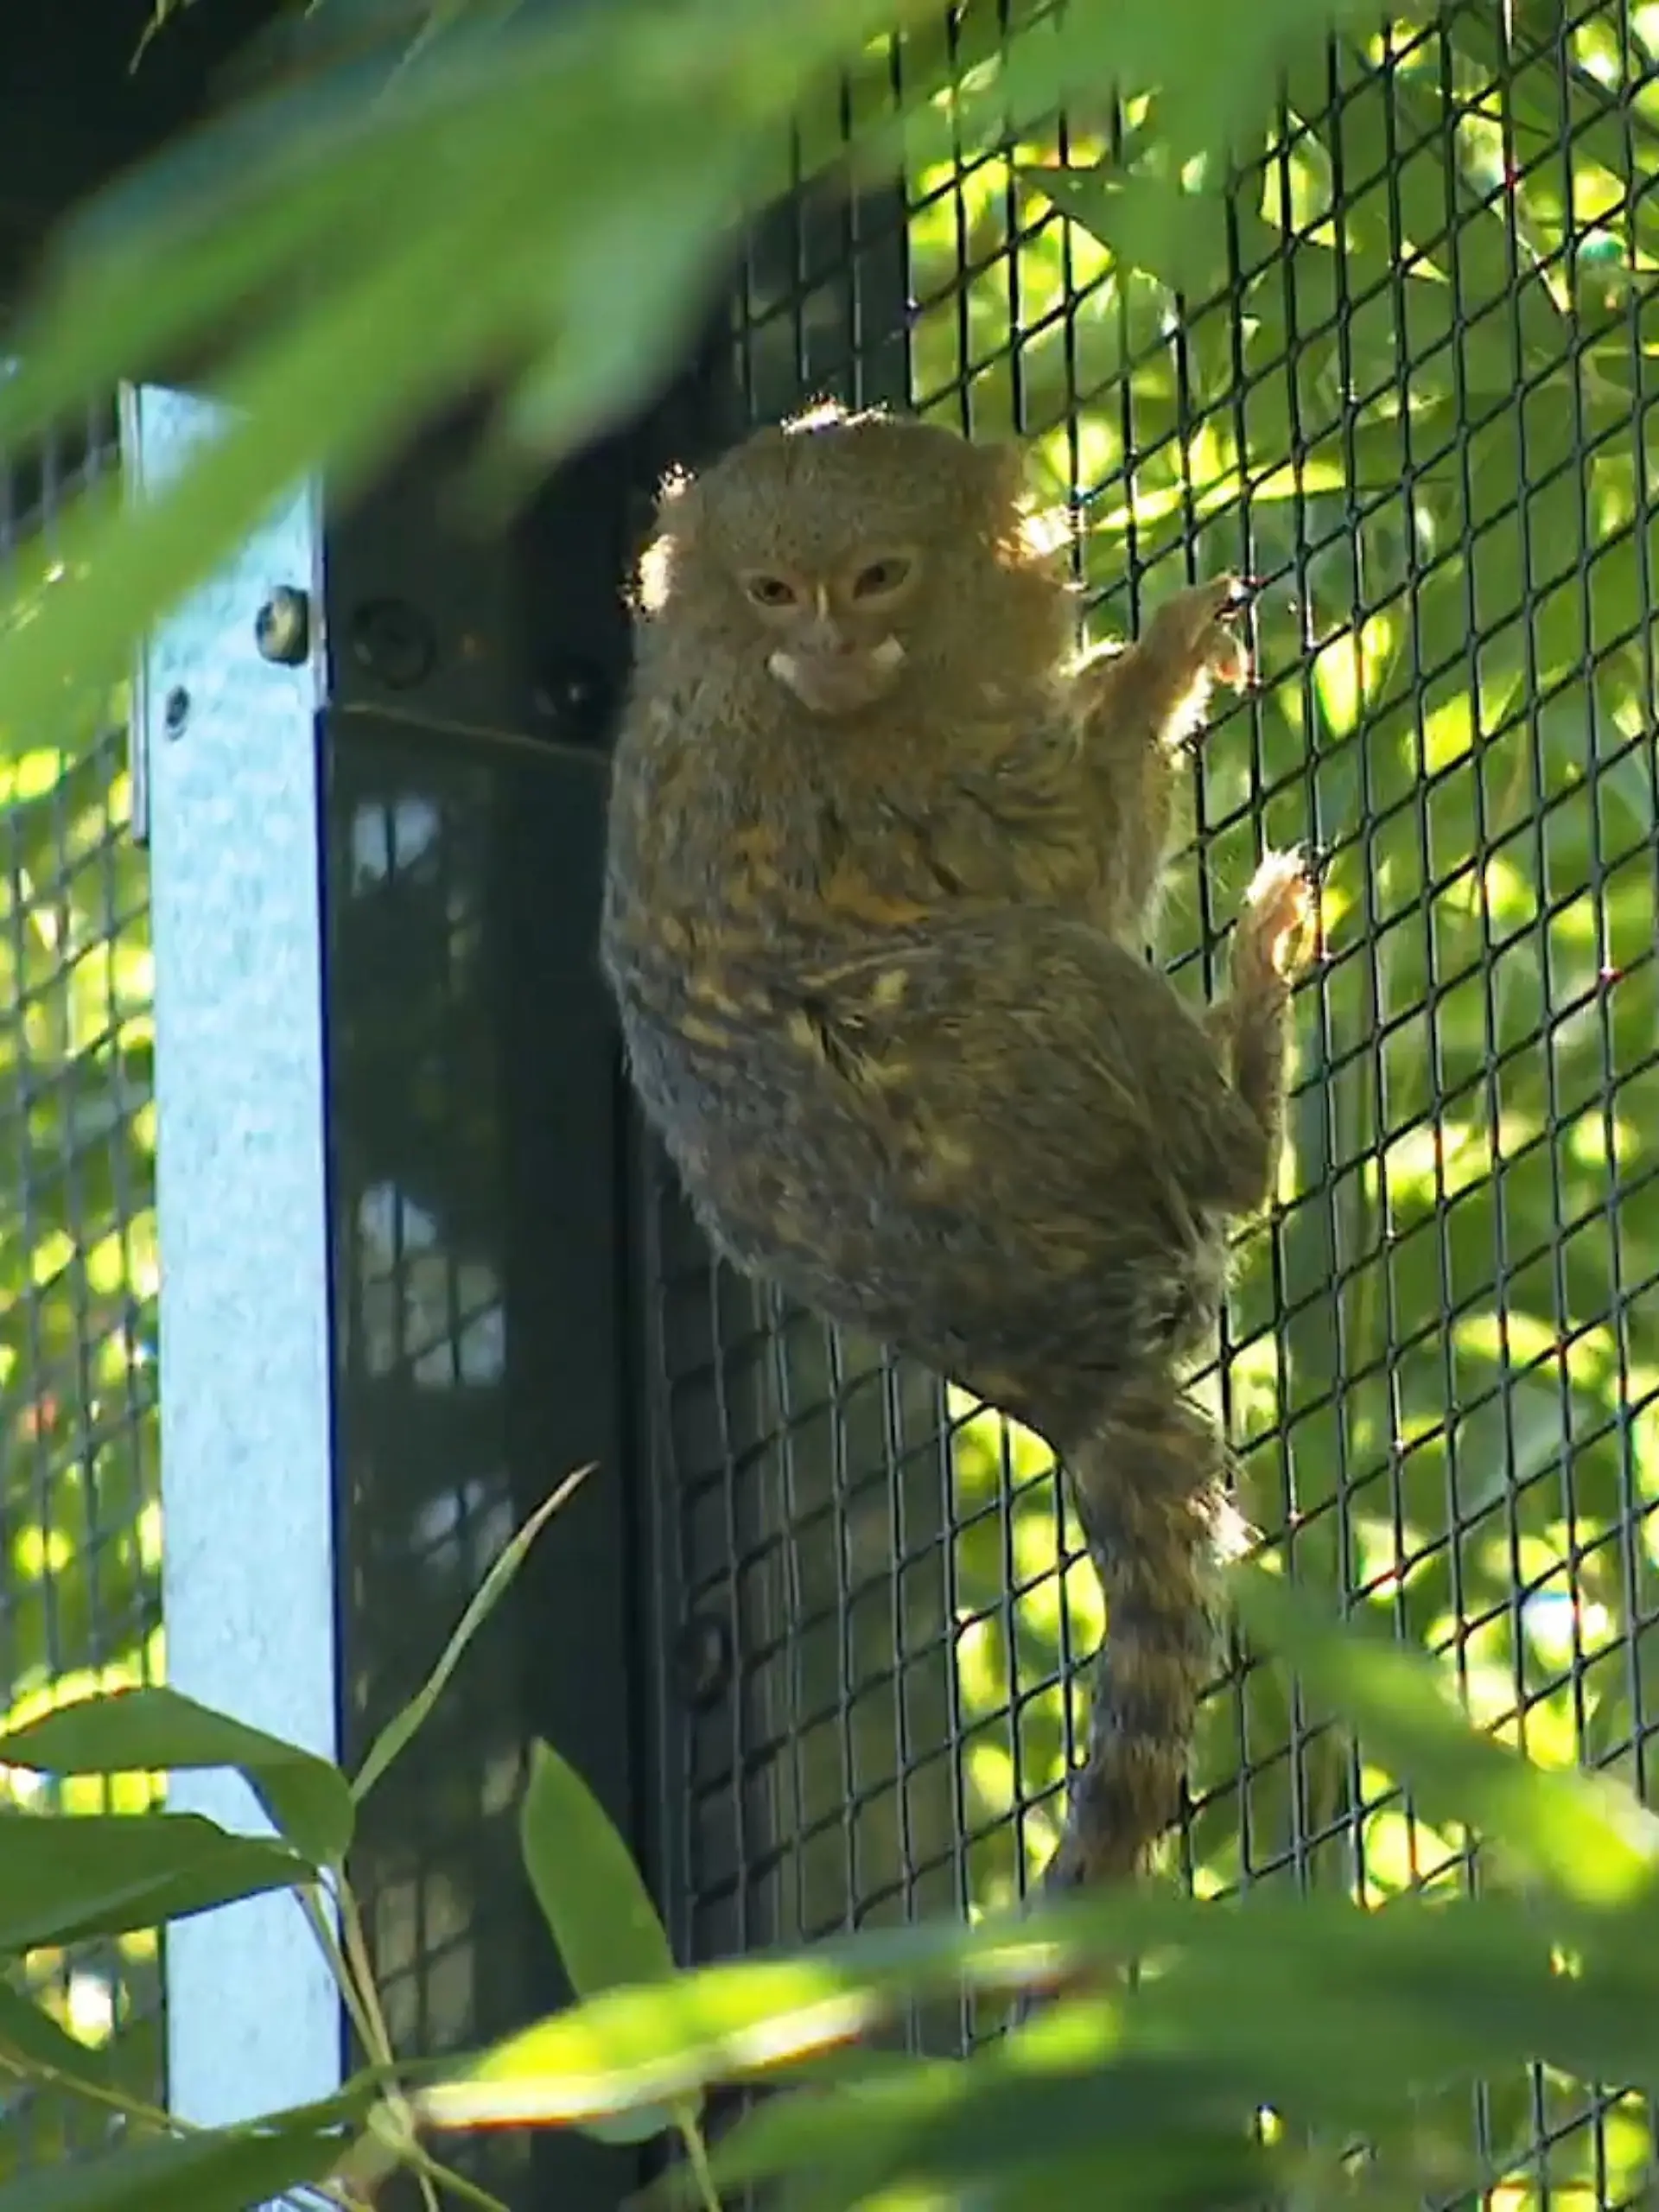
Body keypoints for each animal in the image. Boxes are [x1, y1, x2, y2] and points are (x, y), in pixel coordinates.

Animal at [598, 399, 1314, 1918]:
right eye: (773, 592)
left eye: (876, 579)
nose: (824, 645)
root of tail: (1054, 1375)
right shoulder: (870, 799)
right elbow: (1077, 869)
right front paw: (1155, 669)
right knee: (1058, 981)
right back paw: (1251, 1048)